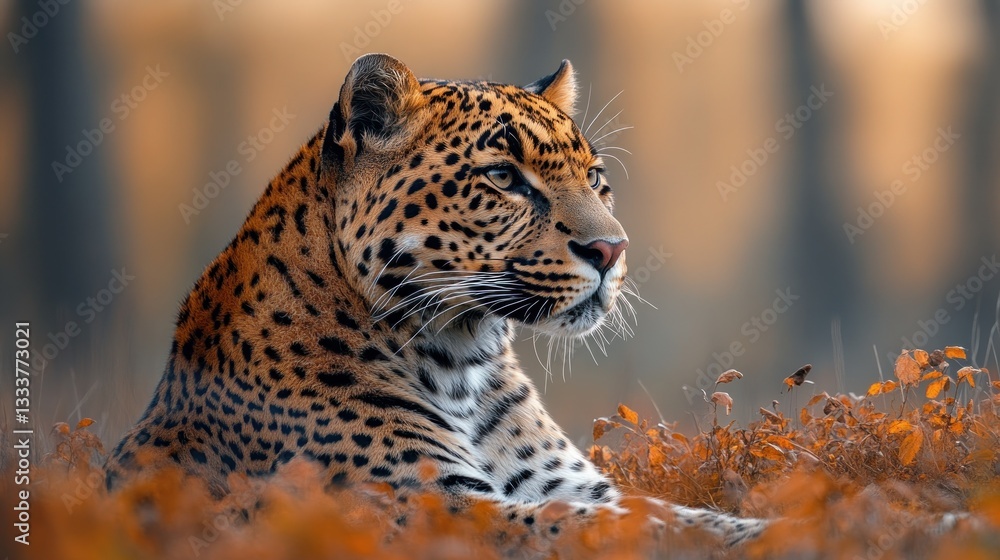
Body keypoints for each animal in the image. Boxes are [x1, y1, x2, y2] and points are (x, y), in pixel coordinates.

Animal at [104, 53, 767, 550]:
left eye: (596, 178)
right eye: (502, 177)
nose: (611, 249)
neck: (464, 358)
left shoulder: (569, 484)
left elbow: (668, 511)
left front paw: (767, 523)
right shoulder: (427, 504)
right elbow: (599, 526)